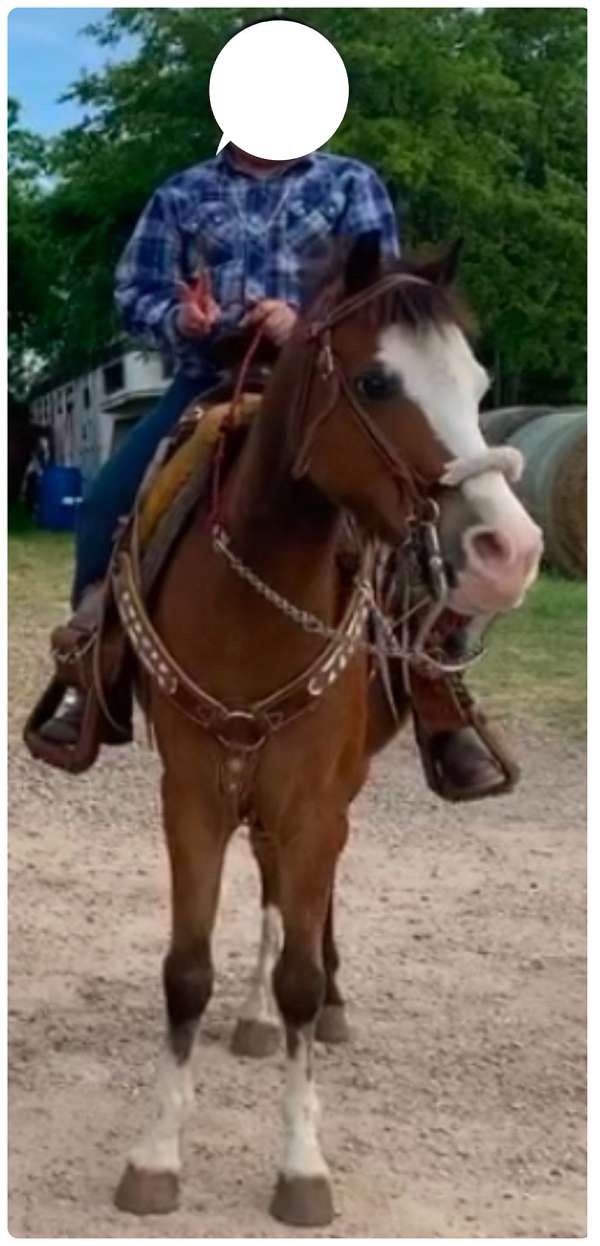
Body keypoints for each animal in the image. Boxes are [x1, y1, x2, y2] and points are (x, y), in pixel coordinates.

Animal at [111, 233, 542, 1226]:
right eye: (378, 382)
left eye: (478, 379)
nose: (513, 552)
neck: (254, 592)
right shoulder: (191, 793)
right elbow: (185, 970)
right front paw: (156, 1155)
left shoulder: (312, 794)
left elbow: (302, 971)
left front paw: (302, 1165)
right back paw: (253, 1020)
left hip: (335, 785)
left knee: (314, 896)